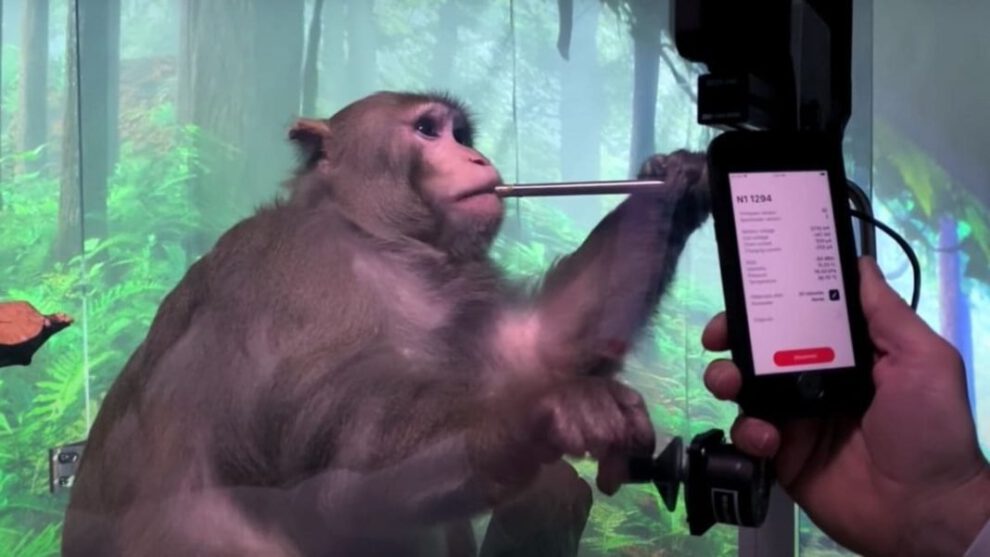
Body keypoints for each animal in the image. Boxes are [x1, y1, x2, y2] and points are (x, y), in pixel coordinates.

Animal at [61, 91, 711, 557]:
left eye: (461, 135)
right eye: (427, 131)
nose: (477, 157)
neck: (372, 238)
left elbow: (533, 346)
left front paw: (676, 185)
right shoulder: (307, 280)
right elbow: (338, 460)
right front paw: (541, 412)